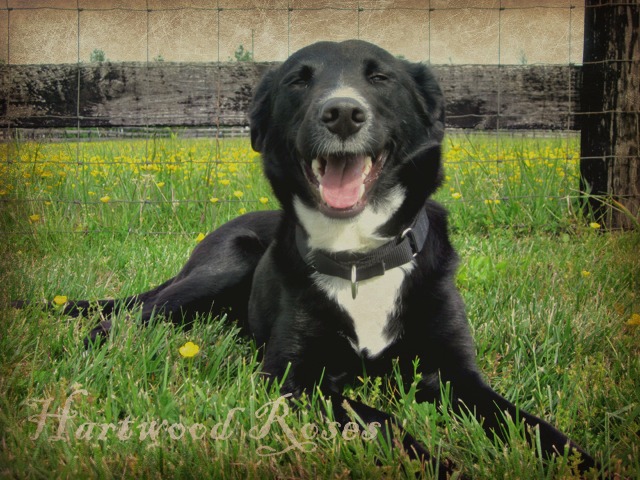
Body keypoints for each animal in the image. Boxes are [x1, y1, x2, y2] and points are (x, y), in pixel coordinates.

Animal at [16, 40, 596, 478]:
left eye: (380, 77)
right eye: (299, 81)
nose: (341, 113)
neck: (358, 254)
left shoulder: (456, 372)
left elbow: (528, 422)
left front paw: (583, 460)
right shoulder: (296, 377)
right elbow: (379, 420)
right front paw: (439, 465)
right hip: (221, 268)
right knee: (128, 314)